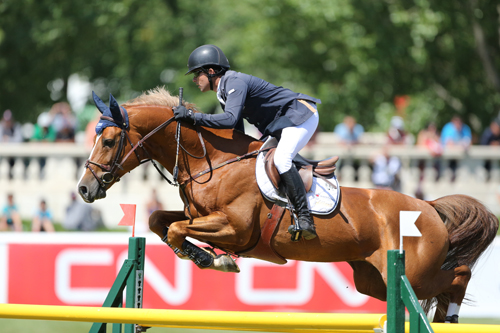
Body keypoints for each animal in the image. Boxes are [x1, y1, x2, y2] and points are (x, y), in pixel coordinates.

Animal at [76, 87, 498, 320]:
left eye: (109, 141)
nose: (84, 189)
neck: (211, 162)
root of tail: (430, 208)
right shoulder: (202, 217)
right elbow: (159, 222)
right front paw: (207, 258)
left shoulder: (235, 228)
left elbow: (178, 230)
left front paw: (216, 260)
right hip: (374, 280)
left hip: (415, 272)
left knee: (458, 275)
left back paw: (450, 317)